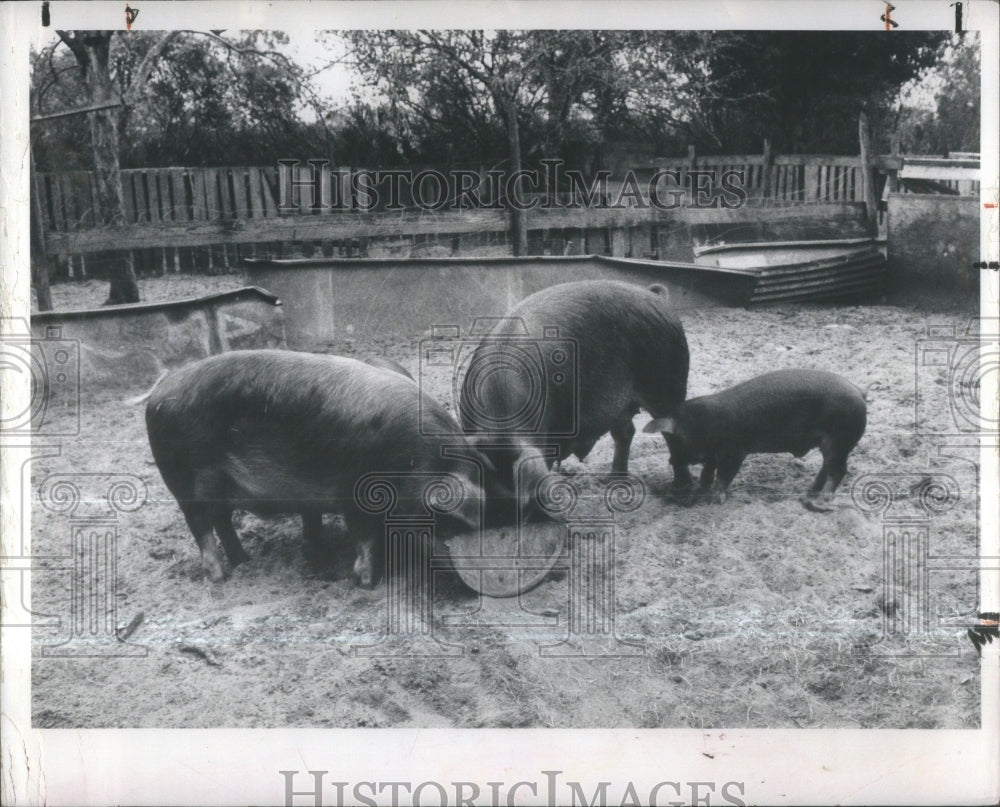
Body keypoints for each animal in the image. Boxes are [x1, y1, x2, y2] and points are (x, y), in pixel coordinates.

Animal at [144, 350, 492, 584]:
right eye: (448, 526)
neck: (414, 464)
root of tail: (158, 393)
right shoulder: (356, 489)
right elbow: (364, 537)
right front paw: (368, 582)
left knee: (222, 521)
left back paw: (244, 561)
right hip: (187, 479)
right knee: (201, 526)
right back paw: (221, 578)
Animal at [458, 284, 688, 508]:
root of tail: (656, 297)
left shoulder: (544, 435)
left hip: (667, 384)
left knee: (673, 432)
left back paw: (680, 495)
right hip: (619, 404)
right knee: (625, 432)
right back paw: (612, 481)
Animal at [648, 370, 868, 508]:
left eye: (676, 440)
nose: (671, 460)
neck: (702, 424)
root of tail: (858, 390)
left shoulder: (735, 452)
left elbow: (723, 476)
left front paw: (714, 500)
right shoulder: (712, 456)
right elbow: (706, 475)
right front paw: (699, 496)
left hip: (840, 440)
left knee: (839, 470)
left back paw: (820, 503)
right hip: (832, 444)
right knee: (826, 467)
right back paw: (806, 496)